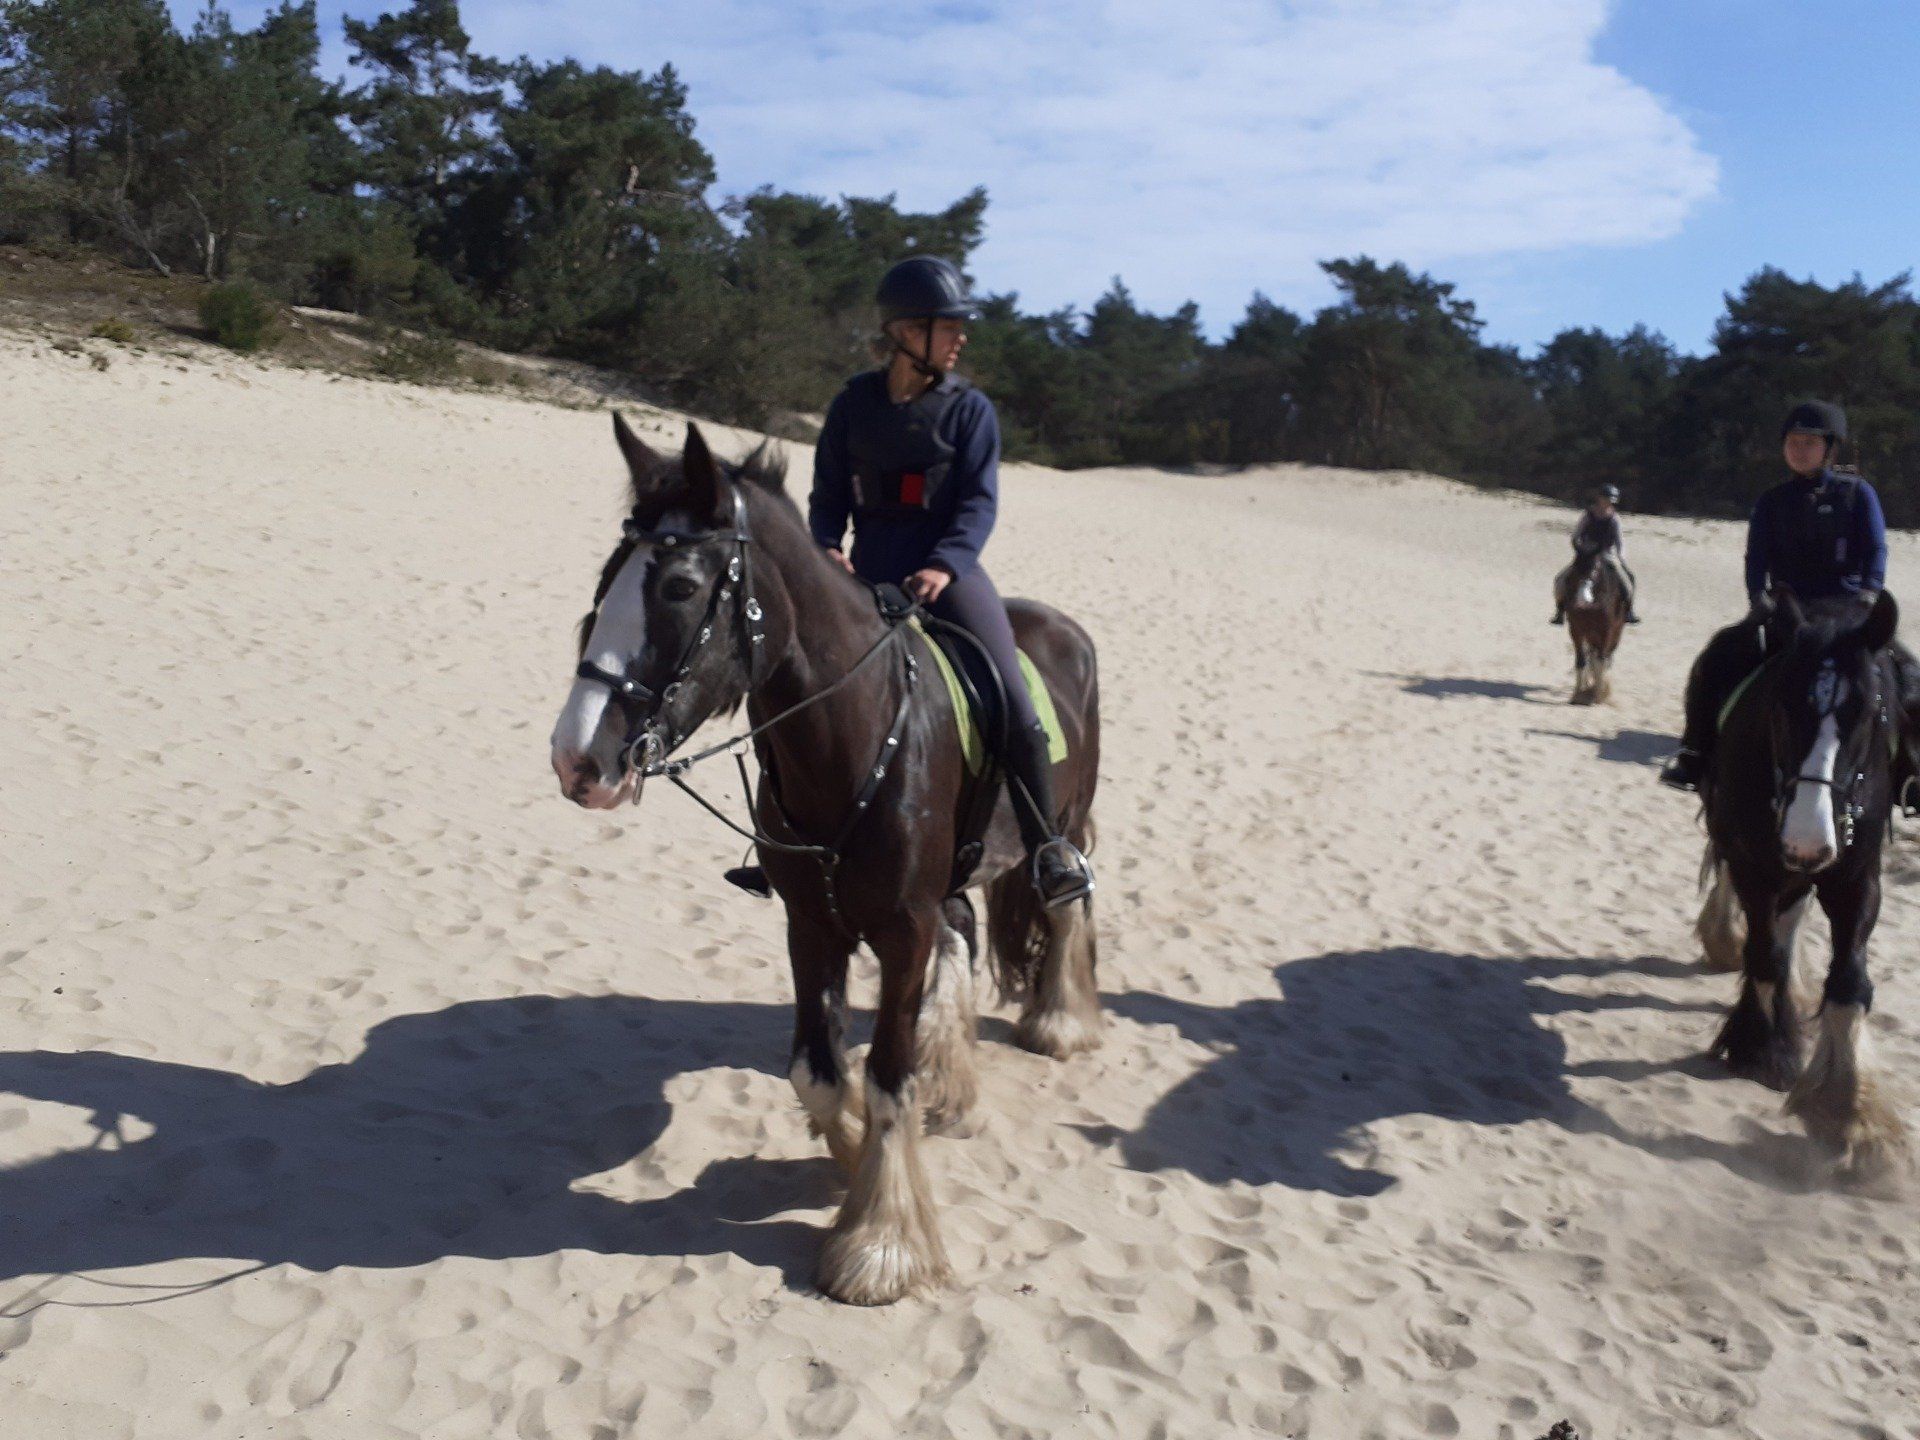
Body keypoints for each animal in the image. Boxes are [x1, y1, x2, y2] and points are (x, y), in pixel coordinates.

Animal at [548, 418, 1103, 1304]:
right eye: (607, 581)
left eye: (678, 588)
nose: (576, 760)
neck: (855, 732)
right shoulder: (811, 924)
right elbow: (819, 1072)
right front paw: (851, 1163)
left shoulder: (902, 930)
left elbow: (884, 1074)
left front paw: (880, 1244)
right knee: (963, 932)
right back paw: (955, 1084)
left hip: (1070, 822)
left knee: (1067, 904)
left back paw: (1059, 1023)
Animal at [1563, 545, 1628, 704]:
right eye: (1575, 567)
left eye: (1596, 569)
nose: (1581, 600)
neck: (1591, 607)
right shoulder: (1576, 631)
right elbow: (1581, 661)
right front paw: (1577, 694)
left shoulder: (1606, 632)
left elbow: (1600, 661)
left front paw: (1597, 696)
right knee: (1592, 657)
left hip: (1614, 634)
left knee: (1605, 658)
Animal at [1693, 588, 1910, 1184]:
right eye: (1779, 706)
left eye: (1868, 713)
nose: (1807, 843)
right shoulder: (1756, 867)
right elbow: (1764, 954)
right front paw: (1764, 1050)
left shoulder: (1856, 879)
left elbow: (1849, 982)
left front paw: (1849, 1112)